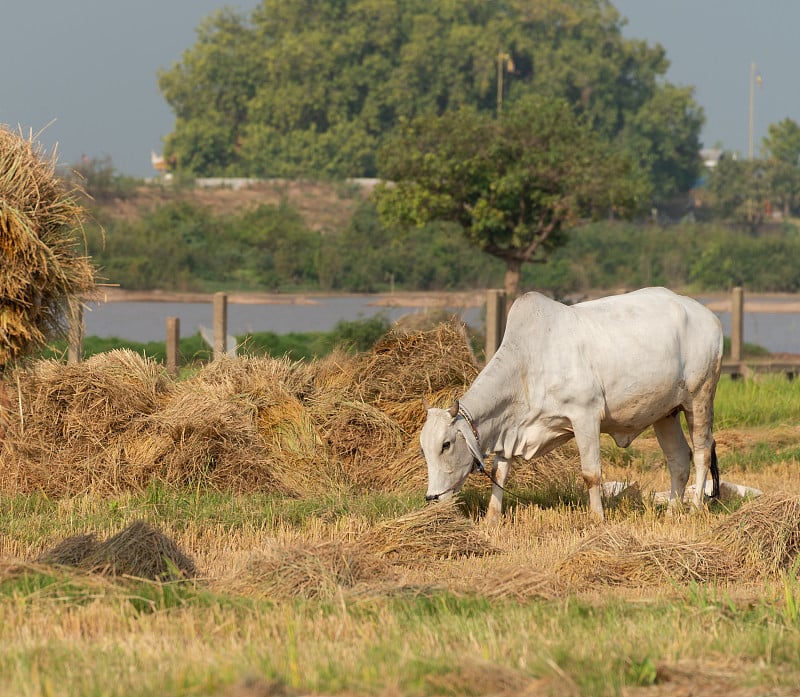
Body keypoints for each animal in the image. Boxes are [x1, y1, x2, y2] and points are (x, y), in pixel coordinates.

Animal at [422, 286, 720, 520]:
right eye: (424, 449)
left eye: (446, 444)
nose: (432, 498)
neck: (528, 365)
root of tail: (710, 318)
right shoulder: (510, 430)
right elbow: (500, 473)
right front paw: (491, 520)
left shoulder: (585, 416)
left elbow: (591, 474)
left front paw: (597, 519)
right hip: (665, 413)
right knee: (679, 459)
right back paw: (671, 512)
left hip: (700, 398)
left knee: (702, 453)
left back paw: (695, 507)